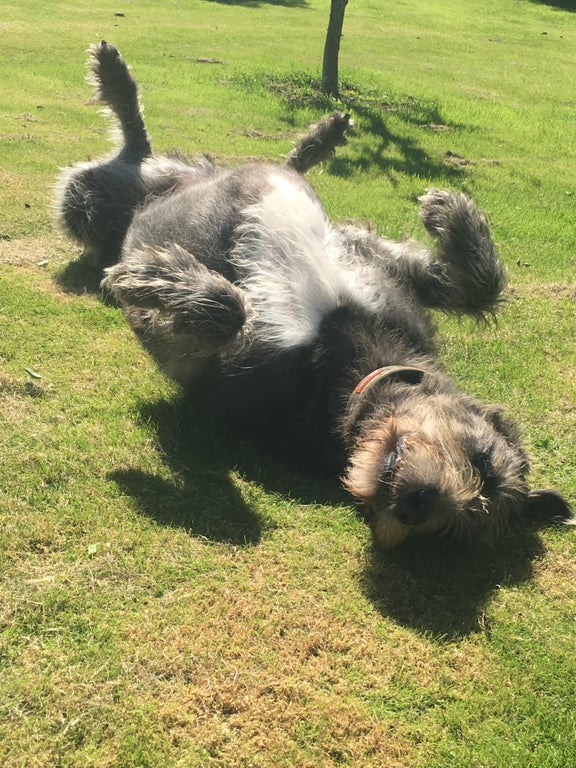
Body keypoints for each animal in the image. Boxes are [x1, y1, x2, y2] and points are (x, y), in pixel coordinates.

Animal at [56, 42, 568, 548]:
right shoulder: (378, 264)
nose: (417, 506)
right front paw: (450, 209)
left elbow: (227, 311)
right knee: (211, 154)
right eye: (483, 459)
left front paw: (146, 274)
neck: (351, 357)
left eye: (455, 530)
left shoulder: (213, 371)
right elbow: (480, 288)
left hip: (85, 204)